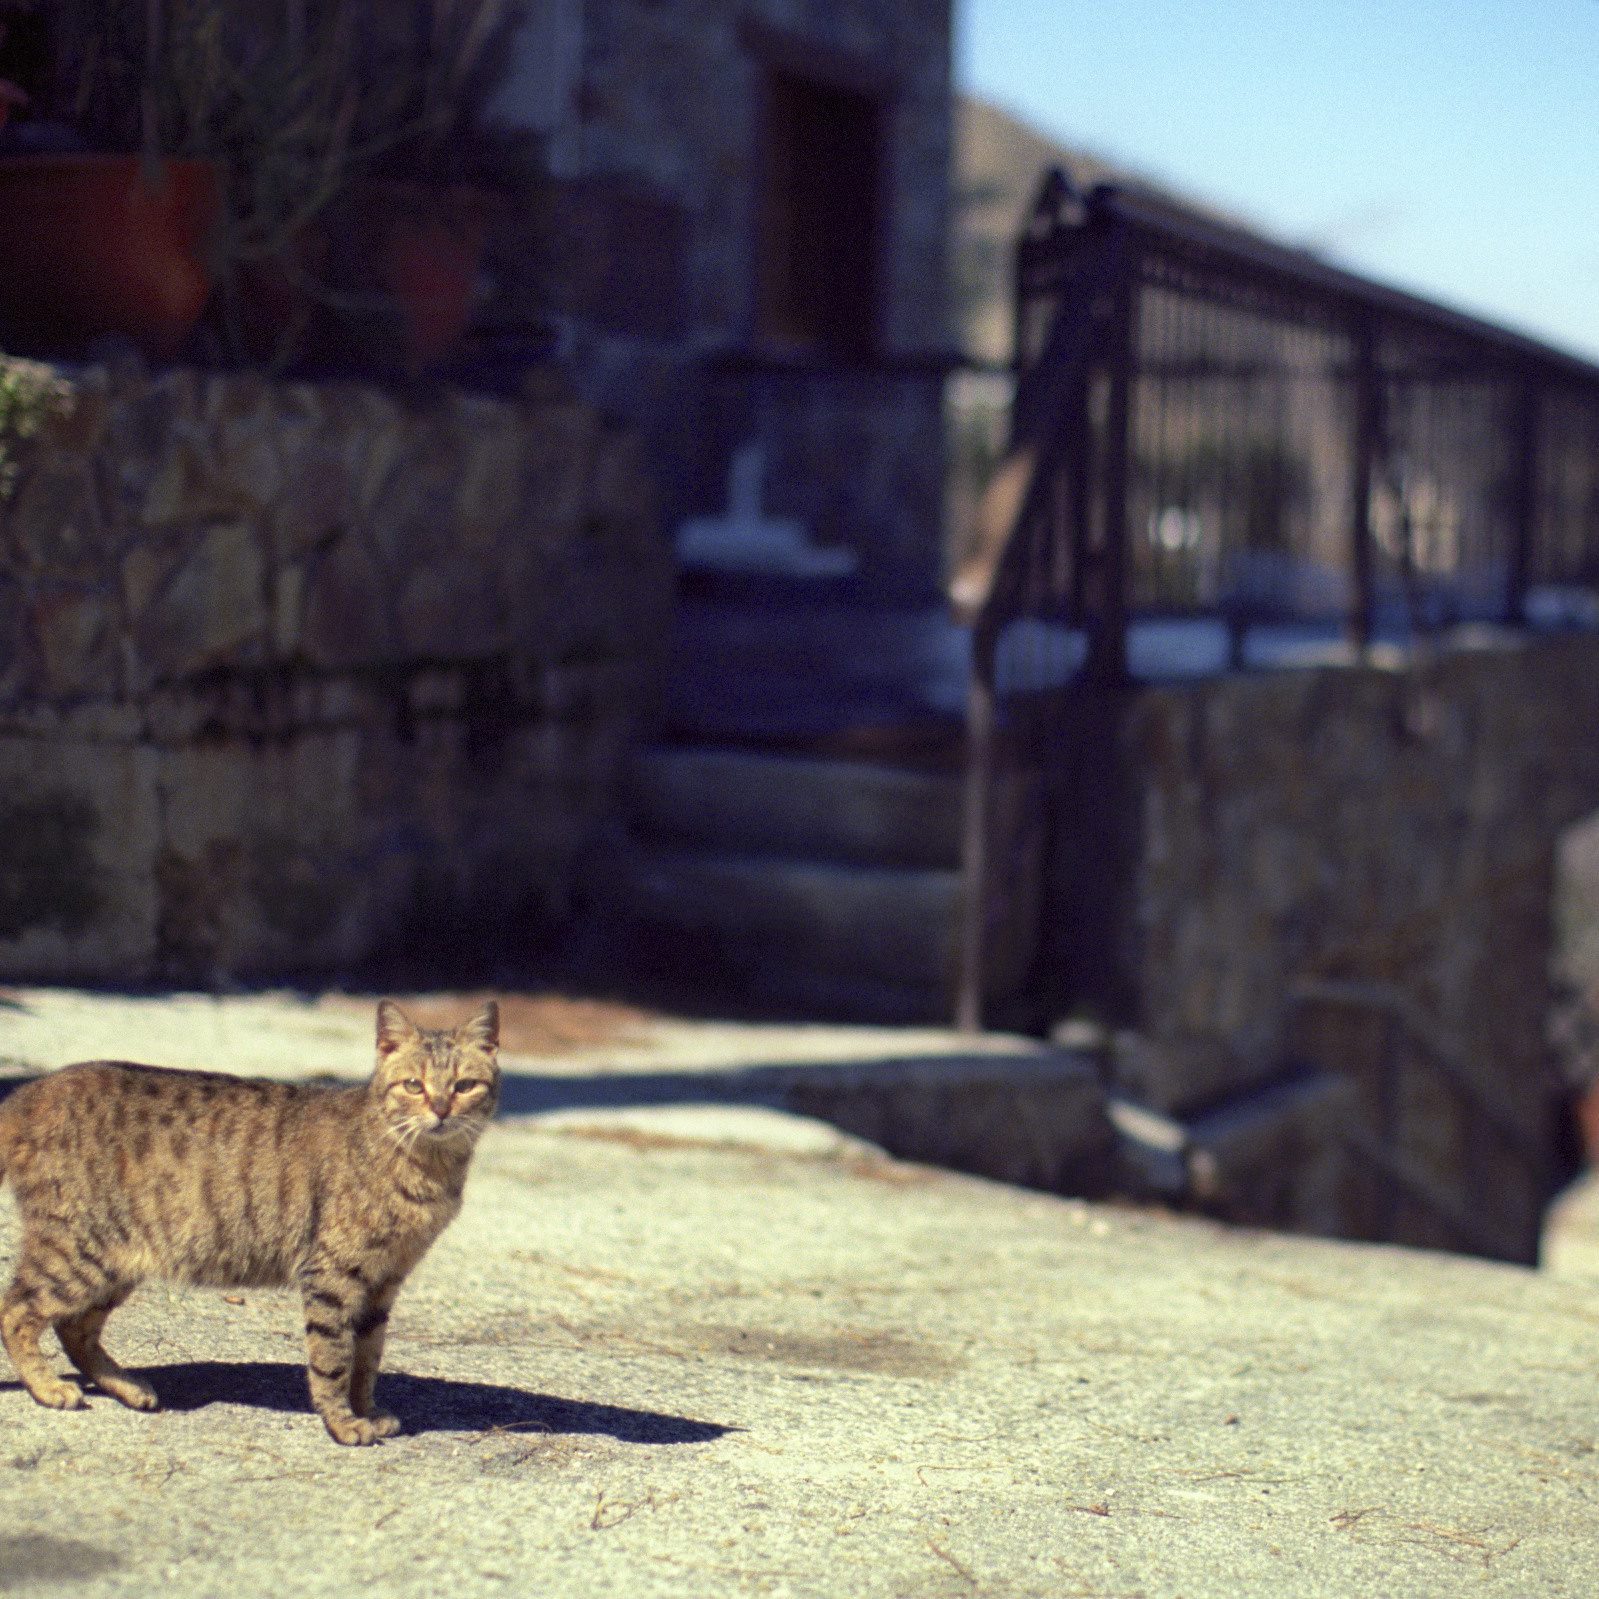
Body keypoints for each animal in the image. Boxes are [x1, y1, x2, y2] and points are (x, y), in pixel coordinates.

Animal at [0, 998, 499, 1445]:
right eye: (414, 1085)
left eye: (464, 1085)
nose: (441, 1110)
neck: (429, 1170)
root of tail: (27, 1094)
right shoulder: (333, 1276)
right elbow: (334, 1359)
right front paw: (342, 1424)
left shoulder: (383, 1281)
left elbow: (367, 1359)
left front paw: (368, 1412)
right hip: (77, 1254)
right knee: (16, 1311)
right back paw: (47, 1388)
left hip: (115, 1264)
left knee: (73, 1329)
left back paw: (127, 1386)